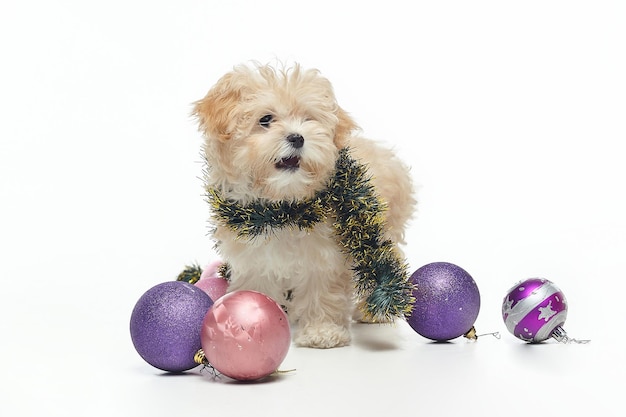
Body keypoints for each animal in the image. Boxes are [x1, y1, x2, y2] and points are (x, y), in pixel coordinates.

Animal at [190, 62, 414, 348]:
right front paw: (251, 318)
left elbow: (323, 290)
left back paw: (373, 310)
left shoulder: (326, 256)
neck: (281, 209)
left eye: (309, 119)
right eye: (265, 120)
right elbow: (257, 285)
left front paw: (322, 332)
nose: (297, 137)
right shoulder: (253, 255)